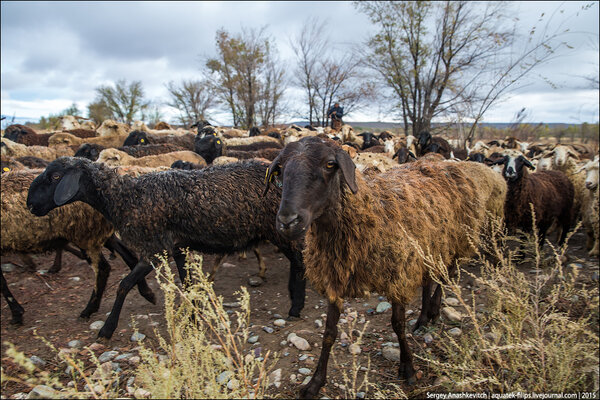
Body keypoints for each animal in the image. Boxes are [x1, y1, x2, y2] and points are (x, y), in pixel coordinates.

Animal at [2, 170, 156, 322]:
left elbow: (2, 283)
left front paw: (16, 313)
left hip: (84, 233)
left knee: (103, 268)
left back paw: (90, 308)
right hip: (98, 232)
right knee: (128, 256)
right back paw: (146, 292)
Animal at [27, 158, 310, 340]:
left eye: (55, 177)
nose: (30, 206)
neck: (126, 198)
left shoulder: (155, 248)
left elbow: (123, 285)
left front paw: (107, 330)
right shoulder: (177, 247)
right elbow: (188, 284)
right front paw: (194, 320)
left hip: (280, 230)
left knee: (299, 263)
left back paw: (296, 307)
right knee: (297, 262)